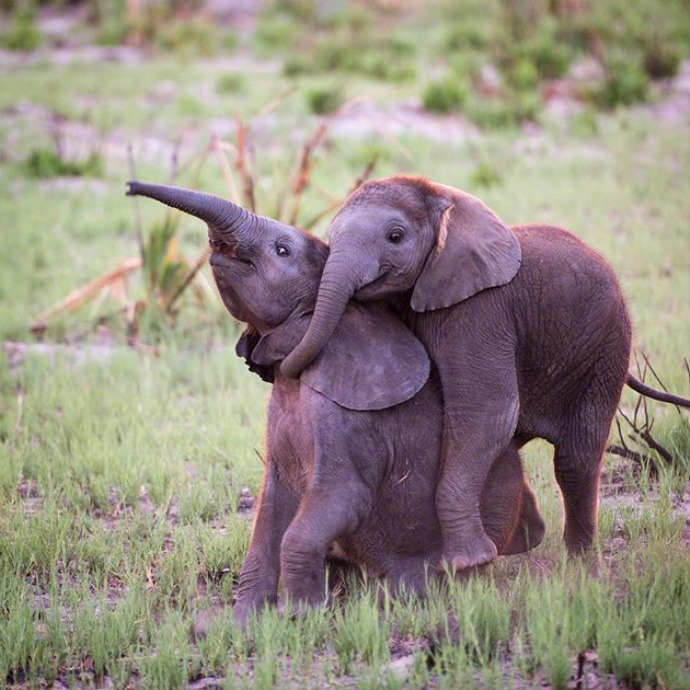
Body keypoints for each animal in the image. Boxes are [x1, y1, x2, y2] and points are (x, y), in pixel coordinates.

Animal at [125, 180, 546, 624]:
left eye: (281, 250)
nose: (130, 186)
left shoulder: (344, 425)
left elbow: (338, 500)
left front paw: (299, 617)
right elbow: (269, 510)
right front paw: (242, 623)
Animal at [280, 175, 690, 572]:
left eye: (395, 236)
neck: (444, 199)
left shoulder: (479, 311)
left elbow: (486, 413)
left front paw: (466, 563)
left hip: (606, 347)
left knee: (576, 459)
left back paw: (581, 567)